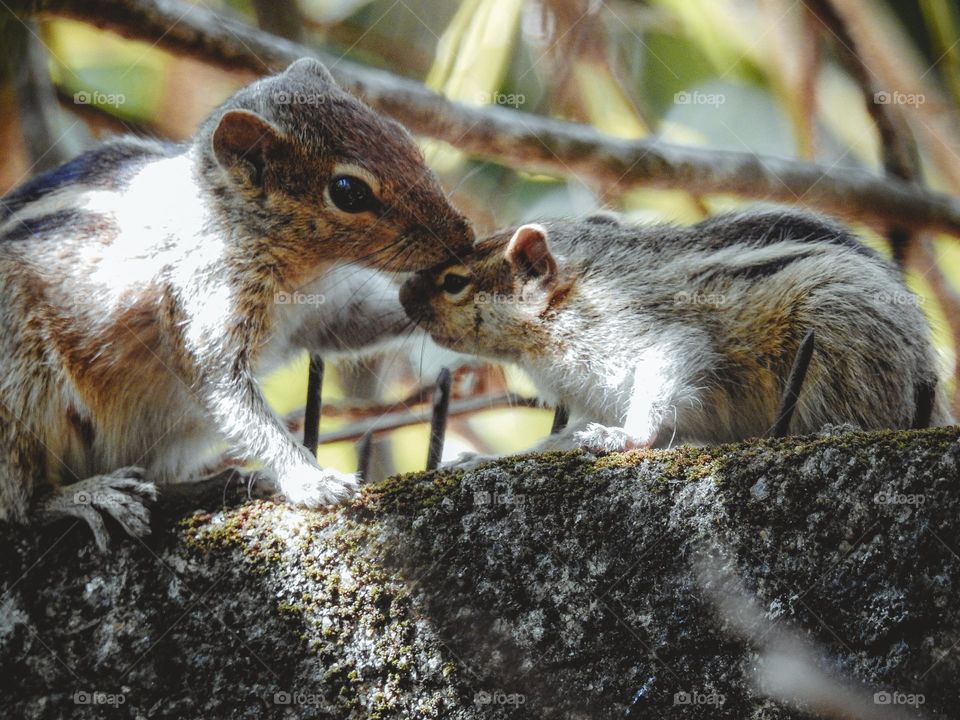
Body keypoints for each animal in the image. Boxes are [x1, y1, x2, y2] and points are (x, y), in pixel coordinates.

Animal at [0, 59, 472, 548]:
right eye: (348, 191)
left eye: (402, 134)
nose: (464, 237)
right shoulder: (207, 308)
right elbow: (238, 402)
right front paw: (311, 480)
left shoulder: (320, 310)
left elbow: (355, 324)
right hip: (17, 386)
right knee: (18, 505)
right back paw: (91, 496)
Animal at [400, 207, 952, 462]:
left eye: (454, 283)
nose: (403, 296)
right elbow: (554, 439)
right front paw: (477, 460)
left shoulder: (648, 334)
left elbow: (663, 379)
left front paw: (623, 437)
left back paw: (838, 430)